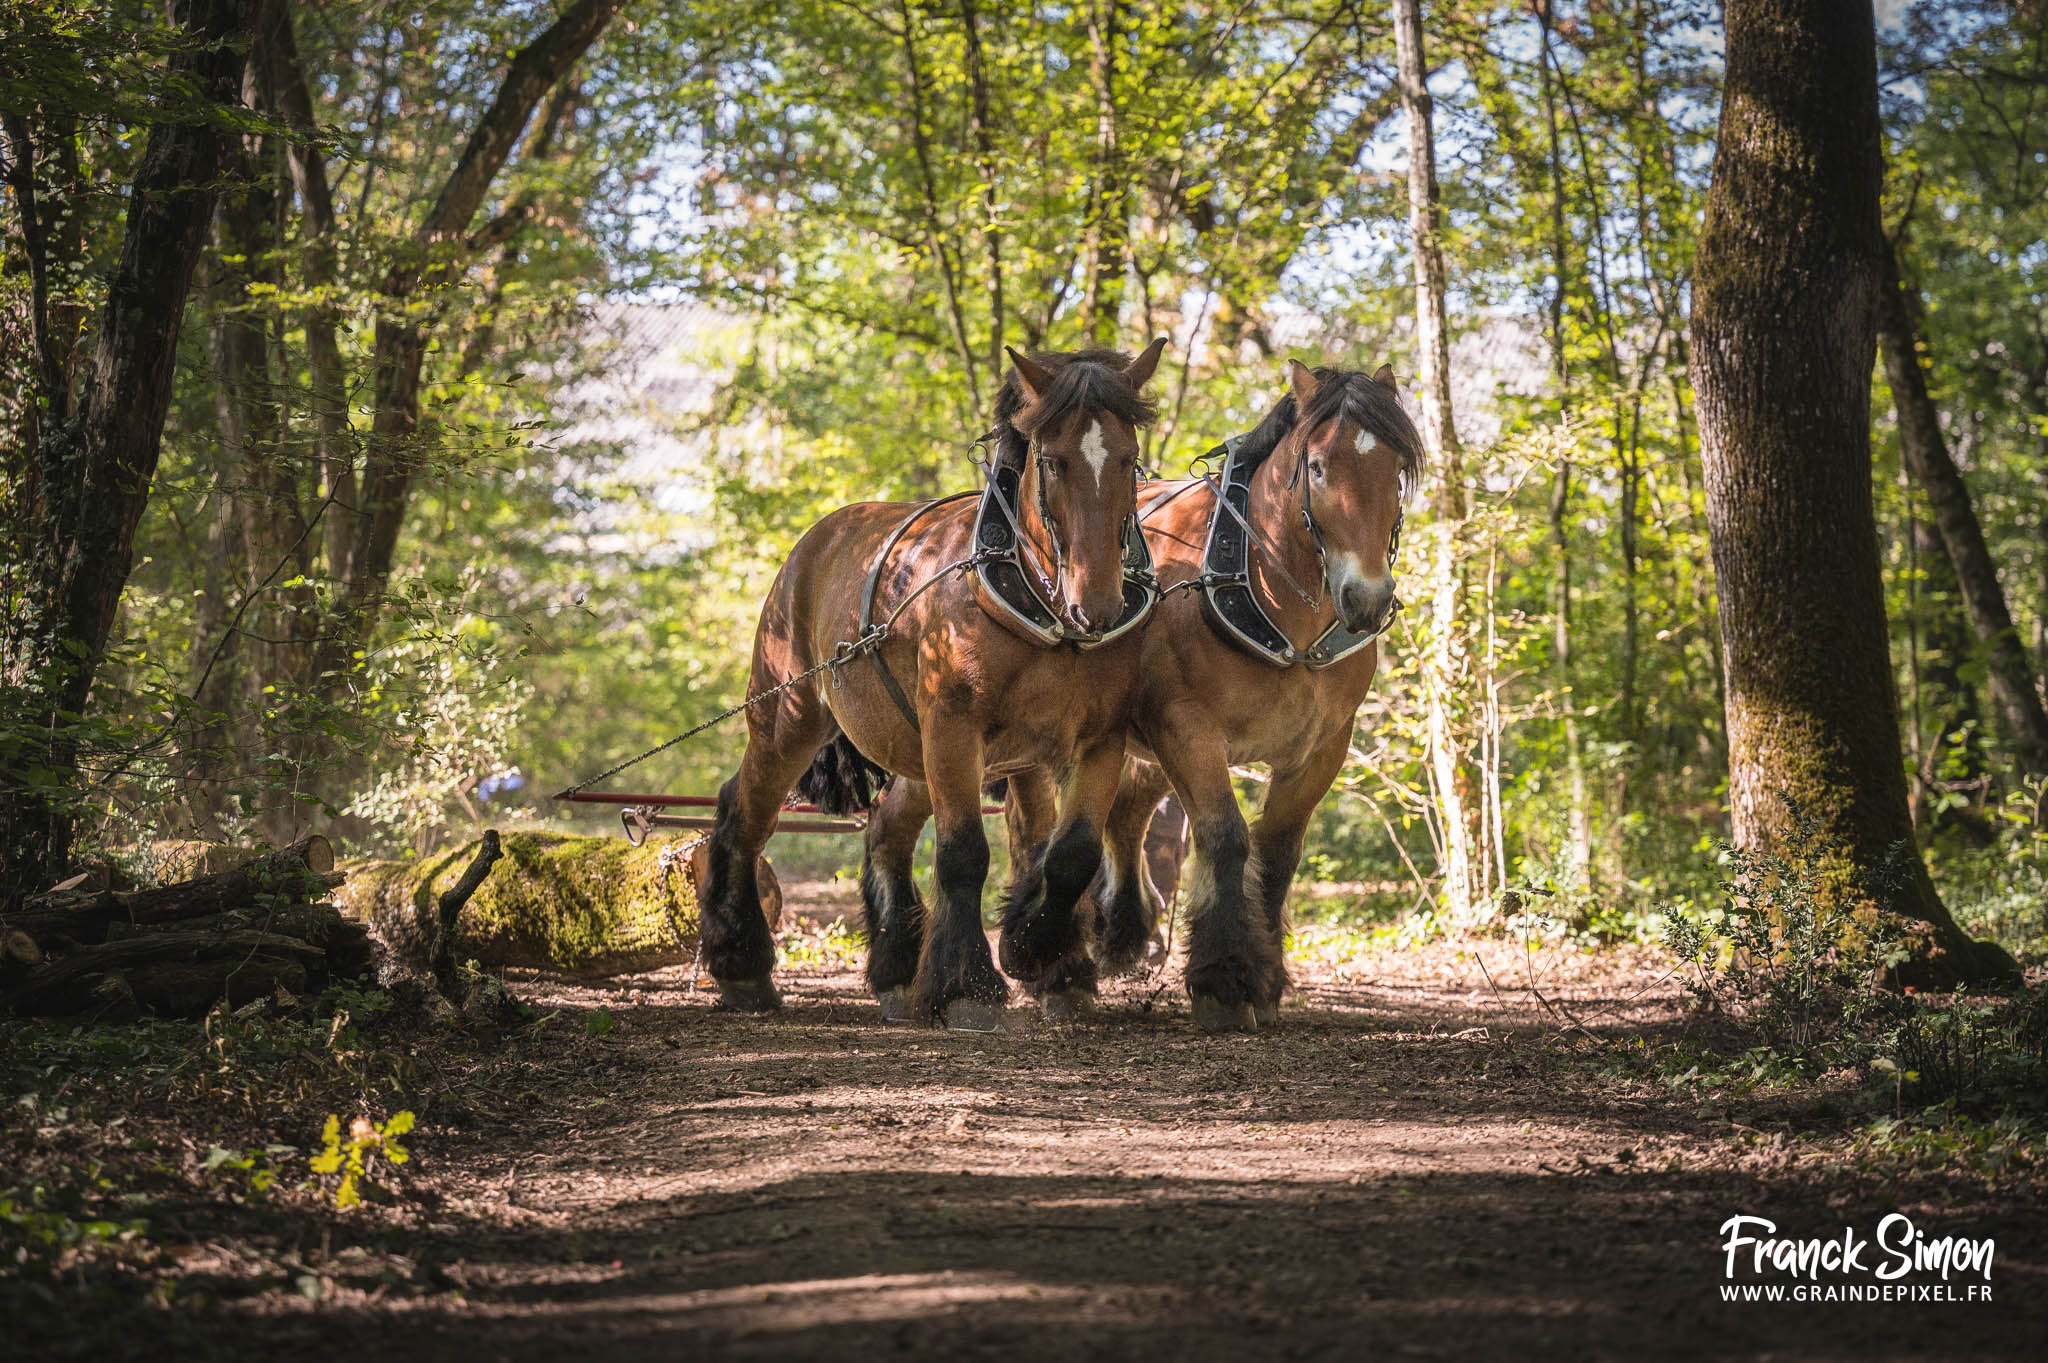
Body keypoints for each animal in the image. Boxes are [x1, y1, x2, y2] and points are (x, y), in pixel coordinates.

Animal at [695, 341, 1169, 1029]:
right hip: (790, 716)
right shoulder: (953, 727)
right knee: (744, 812)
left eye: (1129, 459)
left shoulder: (1097, 740)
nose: (1099, 607)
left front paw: (1047, 961)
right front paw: (968, 986)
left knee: (886, 831)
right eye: (1053, 462)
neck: (1041, 610)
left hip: (913, 749)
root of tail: (817, 542)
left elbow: (1071, 855)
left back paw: (895, 968)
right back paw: (742, 964)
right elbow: (964, 854)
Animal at [853, 361, 1420, 1031]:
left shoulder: (1324, 746)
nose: (1367, 598)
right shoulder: (1185, 725)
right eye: (1318, 467)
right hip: (967, 739)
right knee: (956, 824)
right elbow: (1226, 837)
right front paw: (1224, 982)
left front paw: (1265, 979)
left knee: (1113, 818)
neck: (1278, 612)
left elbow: (1277, 855)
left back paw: (1101, 937)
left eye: (1397, 468)